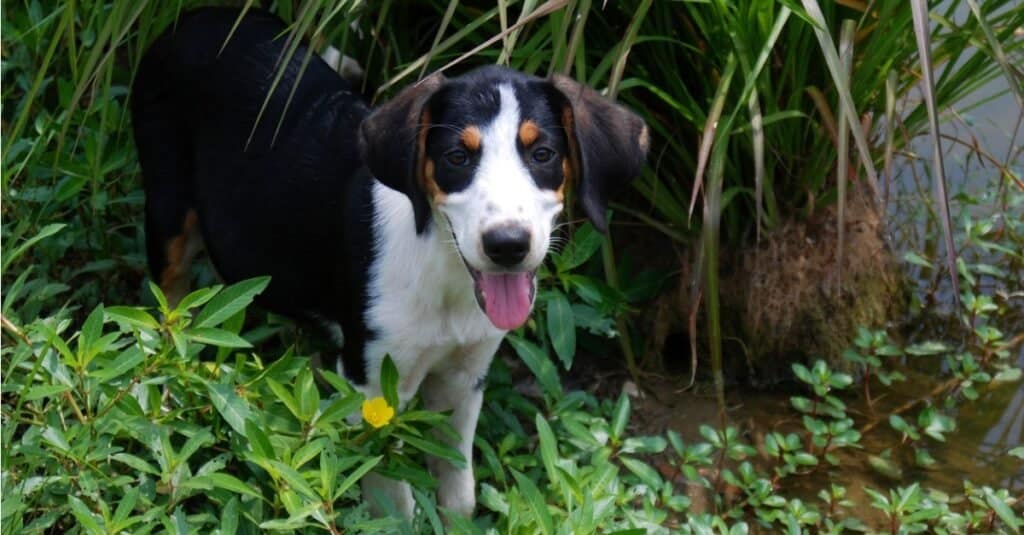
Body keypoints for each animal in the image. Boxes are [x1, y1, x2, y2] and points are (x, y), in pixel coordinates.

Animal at [132, 6, 647, 514]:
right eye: (457, 157)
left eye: (543, 154)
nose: (508, 245)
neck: (445, 276)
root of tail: (198, 17)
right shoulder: (372, 381)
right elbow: (392, 493)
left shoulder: (465, 375)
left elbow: (458, 489)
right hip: (168, 210)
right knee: (168, 309)